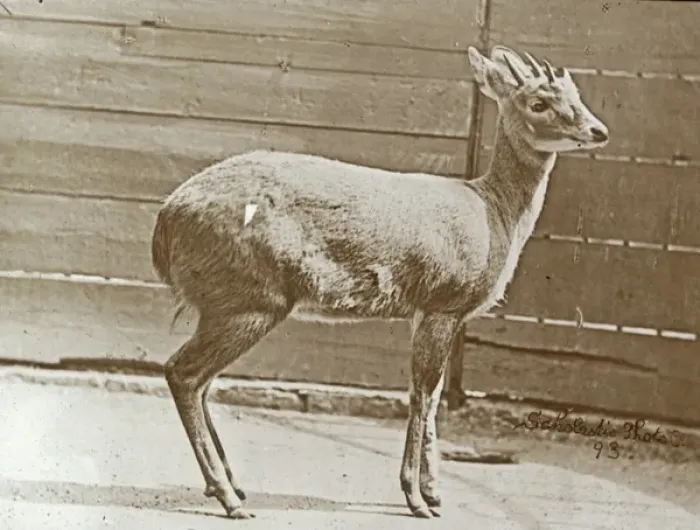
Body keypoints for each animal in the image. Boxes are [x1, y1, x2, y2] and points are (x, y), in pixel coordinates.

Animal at [151, 45, 609, 519]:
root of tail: (165, 223)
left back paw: (232, 487)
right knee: (183, 373)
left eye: (575, 92)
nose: (599, 131)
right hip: (249, 299)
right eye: (537, 102)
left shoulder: (425, 311)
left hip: (230, 303)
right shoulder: (444, 302)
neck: (495, 212)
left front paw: (434, 493)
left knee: (201, 381)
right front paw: (416, 499)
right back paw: (228, 496)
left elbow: (432, 393)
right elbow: (422, 394)